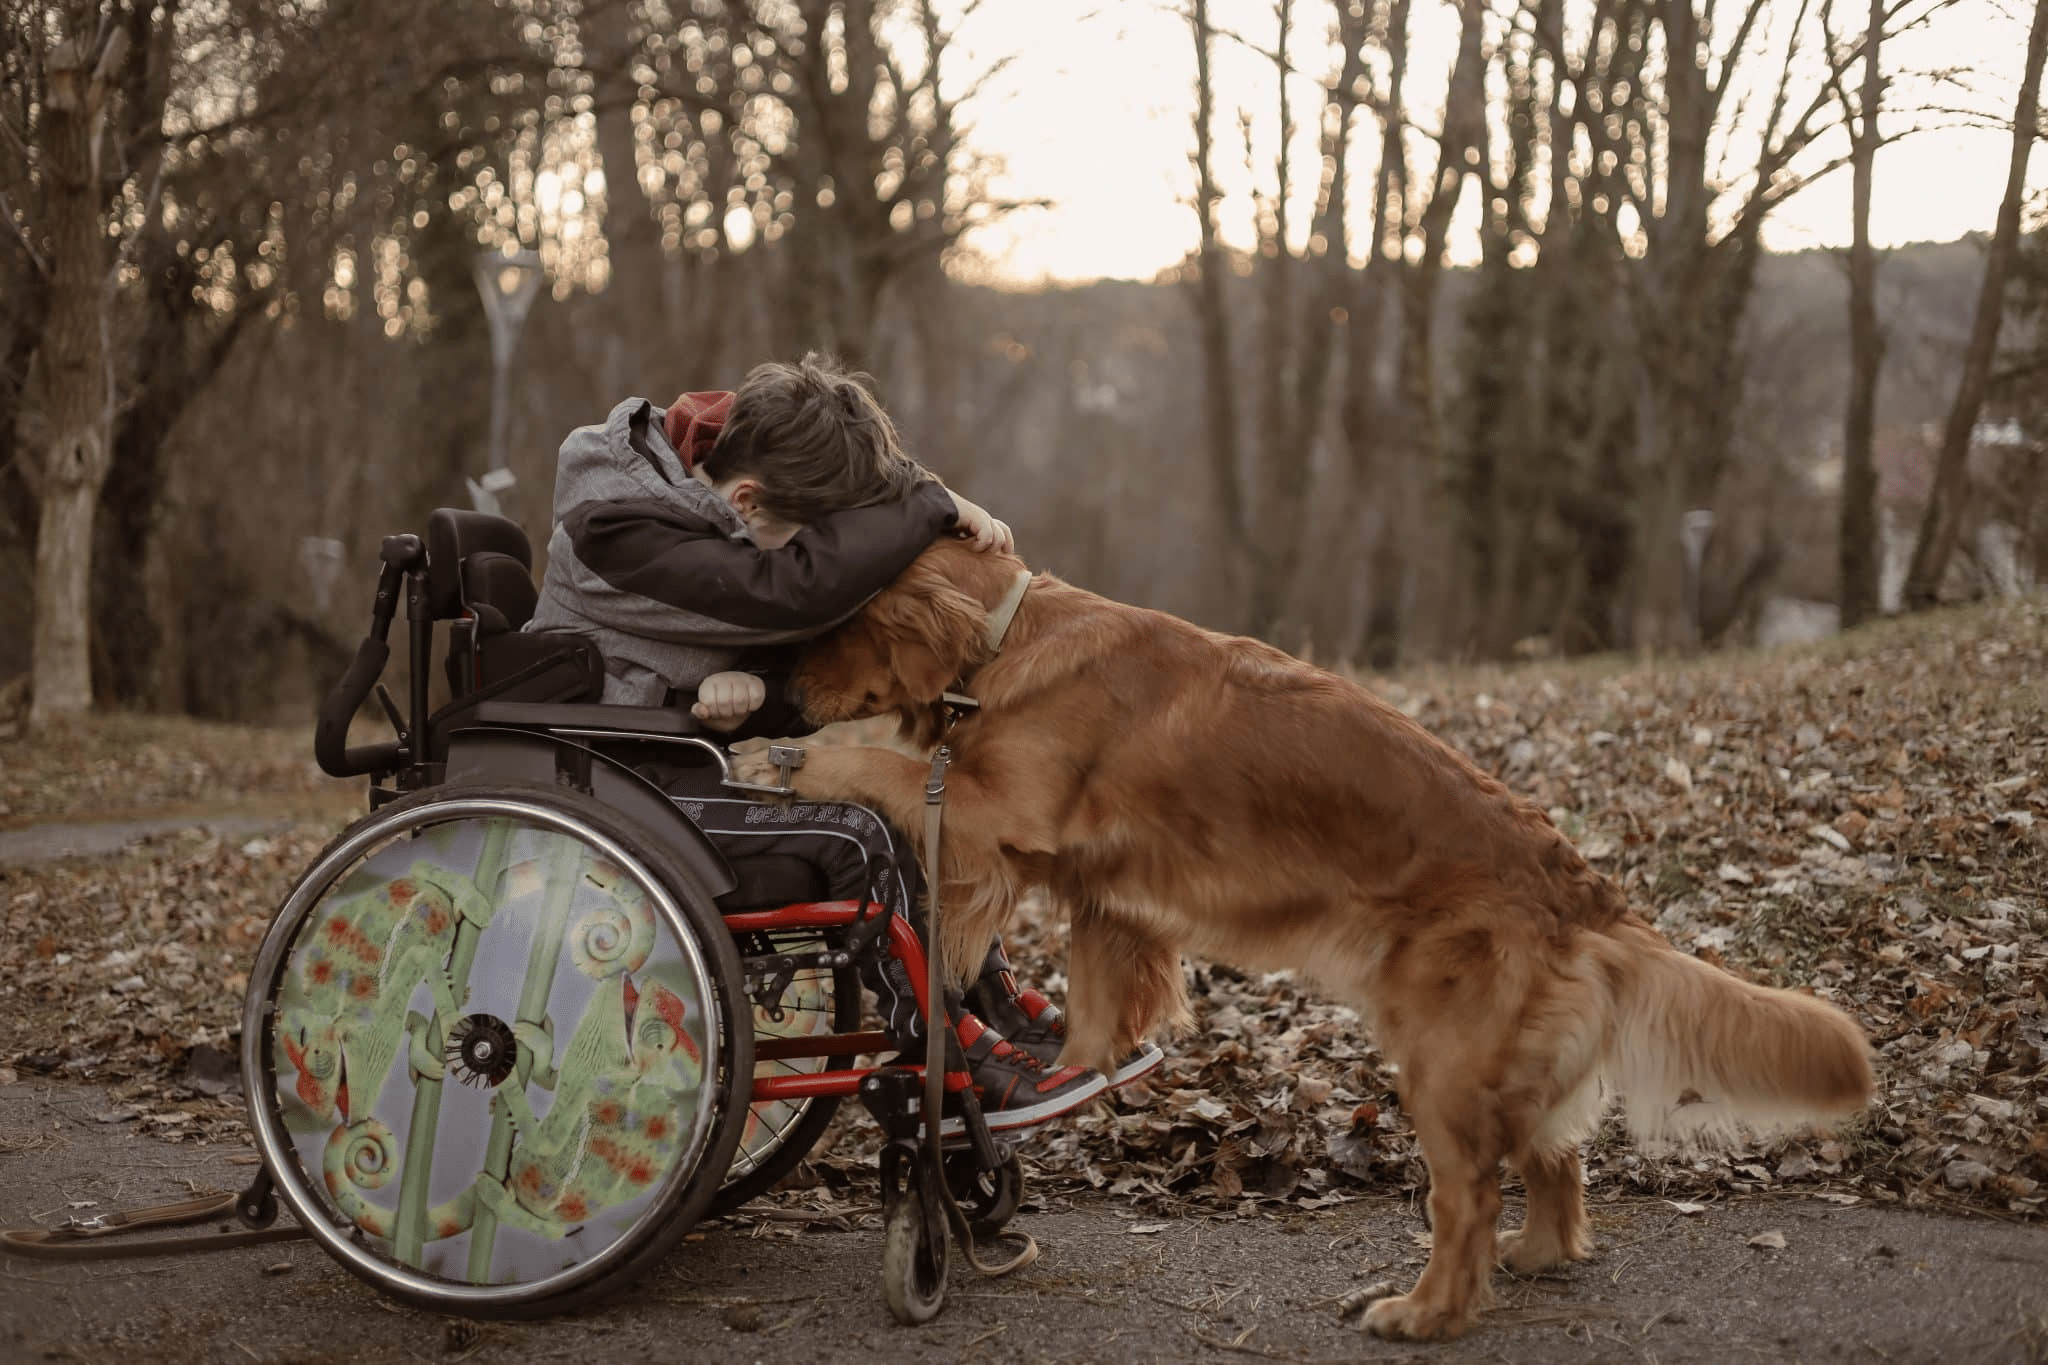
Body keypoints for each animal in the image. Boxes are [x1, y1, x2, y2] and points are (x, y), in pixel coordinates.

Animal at [733, 540, 1875, 1342]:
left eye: (837, 622)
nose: (778, 693)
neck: (1011, 642)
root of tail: (1585, 890)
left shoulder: (989, 810)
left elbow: (881, 774)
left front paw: (785, 764)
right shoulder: (1109, 893)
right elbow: (1100, 1000)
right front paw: (1060, 1076)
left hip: (1442, 1060)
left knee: (1469, 1192)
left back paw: (1427, 1311)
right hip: (1499, 1061)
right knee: (1556, 1159)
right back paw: (1538, 1255)